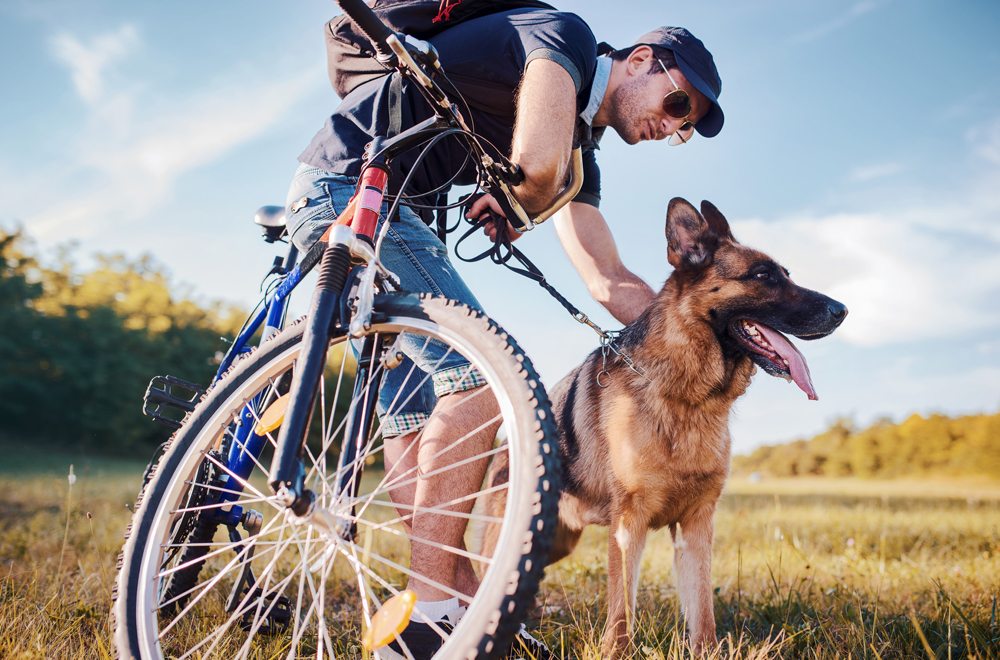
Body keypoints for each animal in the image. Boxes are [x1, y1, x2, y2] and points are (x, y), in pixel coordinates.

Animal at [484, 196, 844, 656]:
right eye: (763, 276)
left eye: (786, 274)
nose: (843, 310)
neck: (688, 398)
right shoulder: (628, 526)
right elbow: (622, 608)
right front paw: (615, 652)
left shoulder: (696, 526)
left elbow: (702, 609)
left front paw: (706, 652)